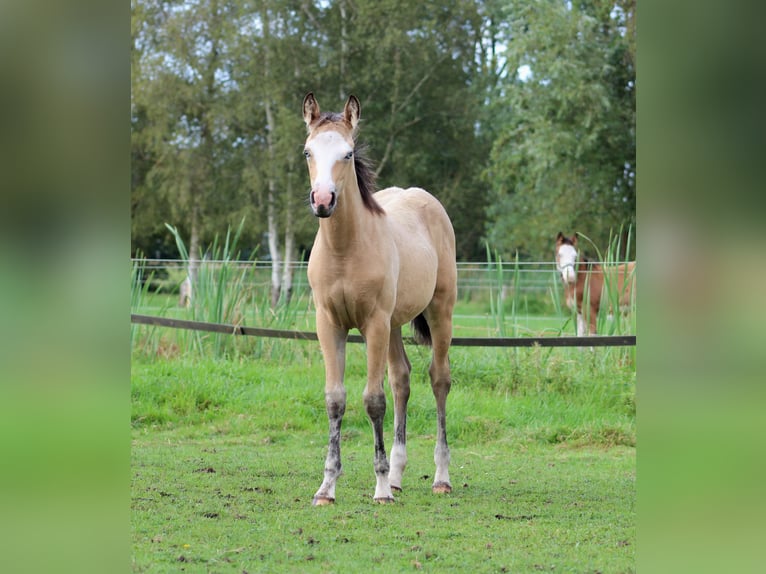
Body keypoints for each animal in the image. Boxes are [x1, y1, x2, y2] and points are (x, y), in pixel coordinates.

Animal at [302, 94, 460, 508]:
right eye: (308, 151)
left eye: (347, 153)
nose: (323, 200)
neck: (345, 250)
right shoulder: (329, 324)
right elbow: (335, 399)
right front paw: (326, 488)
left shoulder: (372, 323)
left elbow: (373, 400)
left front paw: (380, 489)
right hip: (393, 324)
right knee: (402, 379)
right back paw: (399, 476)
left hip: (438, 312)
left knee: (439, 379)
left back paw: (440, 478)